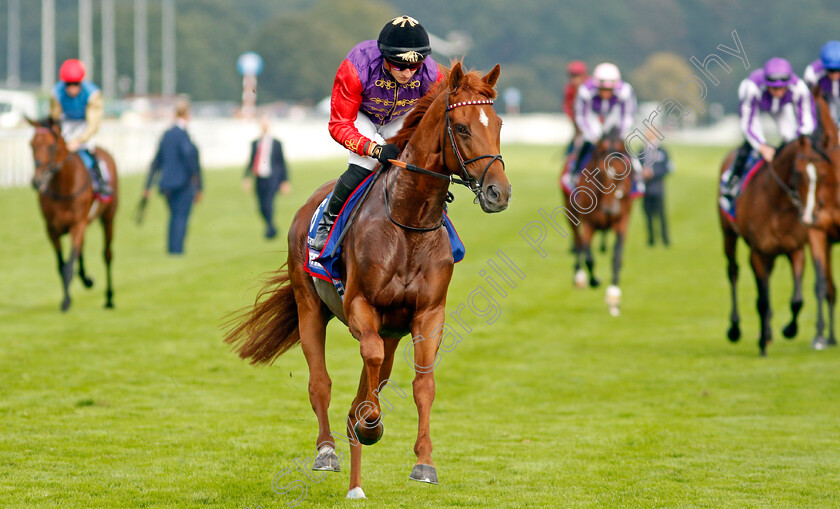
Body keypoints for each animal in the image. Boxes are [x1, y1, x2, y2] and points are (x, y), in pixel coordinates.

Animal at [27, 118, 118, 310]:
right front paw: (70, 295)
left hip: (108, 217)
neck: (63, 187)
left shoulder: (78, 223)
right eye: (31, 145)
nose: (37, 181)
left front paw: (66, 302)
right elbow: (62, 265)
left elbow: (69, 266)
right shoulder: (52, 229)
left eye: (52, 146)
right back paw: (87, 280)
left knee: (107, 254)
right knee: (80, 250)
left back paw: (109, 298)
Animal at [223, 61, 508, 498]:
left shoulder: (429, 314)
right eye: (461, 127)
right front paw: (369, 423)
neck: (408, 221)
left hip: (391, 328)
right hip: (310, 308)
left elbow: (422, 383)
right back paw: (329, 449)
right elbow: (366, 361)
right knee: (321, 381)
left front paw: (424, 462)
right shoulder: (360, 305)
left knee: (377, 373)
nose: (499, 193)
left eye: (499, 123)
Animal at [572, 130, 636, 314]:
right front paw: (594, 280)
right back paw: (579, 276)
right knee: (577, 242)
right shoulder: (588, 223)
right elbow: (588, 256)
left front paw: (613, 294)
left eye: (622, 175)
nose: (609, 209)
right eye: (600, 173)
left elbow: (617, 255)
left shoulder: (622, 221)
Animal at [720, 123, 836, 356]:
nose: (809, 215)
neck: (778, 206)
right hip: (728, 234)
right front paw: (763, 344)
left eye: (822, 174)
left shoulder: (795, 250)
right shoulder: (757, 253)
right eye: (799, 172)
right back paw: (735, 329)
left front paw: (789, 330)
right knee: (733, 271)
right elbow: (762, 300)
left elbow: (797, 300)